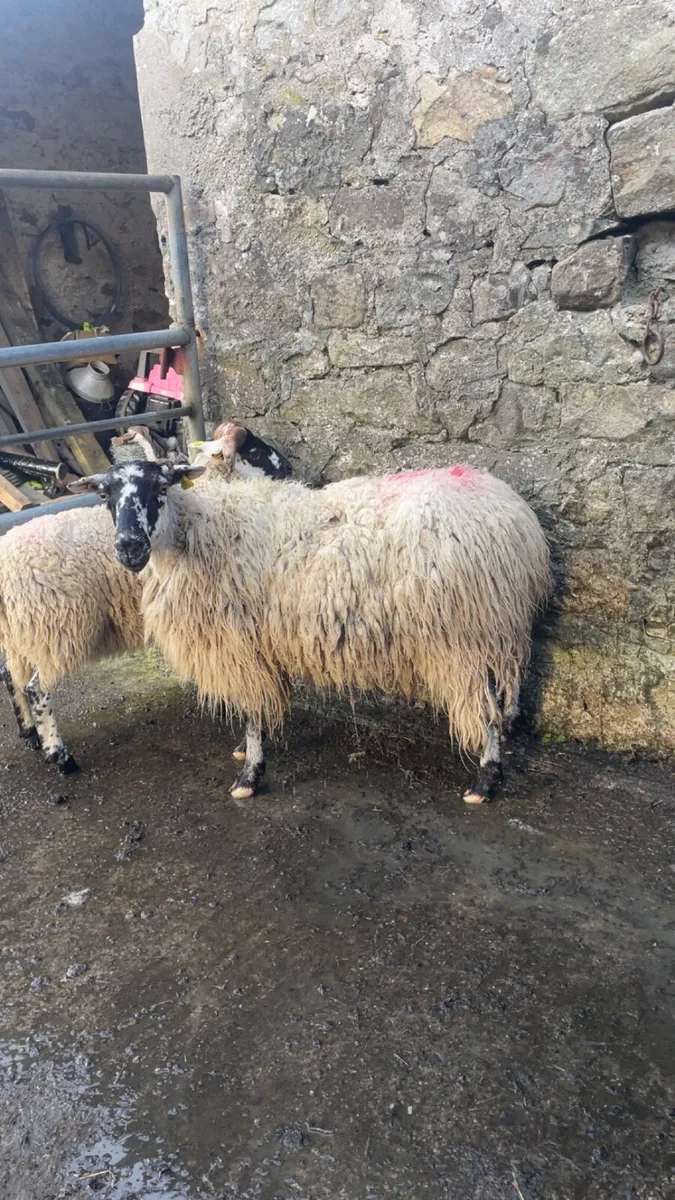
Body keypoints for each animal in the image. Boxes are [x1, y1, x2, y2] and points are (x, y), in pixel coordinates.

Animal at [0, 423, 291, 773]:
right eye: (256, 452)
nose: (288, 467)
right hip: (53, 631)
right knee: (36, 689)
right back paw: (59, 755)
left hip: (19, 634)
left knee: (9, 676)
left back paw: (29, 732)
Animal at [74, 456, 552, 804]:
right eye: (105, 494)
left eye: (160, 487)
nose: (129, 548)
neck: (194, 533)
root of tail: (515, 514)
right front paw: (246, 750)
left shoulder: (240, 644)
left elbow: (252, 713)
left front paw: (249, 774)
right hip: (498, 626)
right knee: (507, 689)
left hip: (462, 635)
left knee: (484, 709)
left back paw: (485, 781)